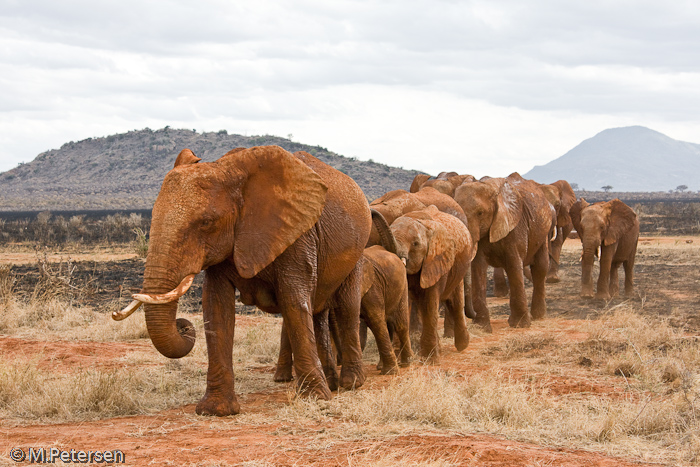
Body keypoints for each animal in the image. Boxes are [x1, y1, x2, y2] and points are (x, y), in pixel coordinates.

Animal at [112, 146, 372, 416]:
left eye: (206, 222)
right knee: (319, 312)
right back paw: (331, 383)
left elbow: (293, 300)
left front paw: (316, 400)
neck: (229, 171)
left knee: (346, 307)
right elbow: (216, 305)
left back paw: (351, 383)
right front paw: (216, 410)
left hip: (358, 251)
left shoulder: (297, 232)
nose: (183, 326)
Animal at [372, 206, 476, 366]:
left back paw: (462, 345)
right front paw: (401, 360)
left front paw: (430, 360)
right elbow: (404, 305)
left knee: (455, 303)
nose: (371, 210)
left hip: (458, 267)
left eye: (415, 244)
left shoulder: (436, 260)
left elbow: (429, 303)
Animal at [454, 173, 556, 332]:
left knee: (540, 267)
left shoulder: (515, 225)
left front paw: (520, 325)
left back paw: (538, 316)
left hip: (544, 230)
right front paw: (482, 327)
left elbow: (514, 265)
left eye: (480, 213)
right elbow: (478, 268)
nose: (471, 315)